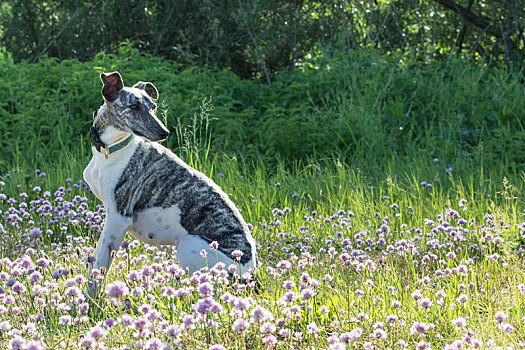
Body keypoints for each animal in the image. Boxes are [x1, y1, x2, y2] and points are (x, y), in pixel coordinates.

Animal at [82, 71, 258, 290]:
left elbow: (99, 266)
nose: (164, 133)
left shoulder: (117, 217)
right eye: (134, 106)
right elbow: (95, 260)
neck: (111, 149)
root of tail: (251, 274)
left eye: (153, 107)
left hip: (188, 246)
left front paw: (90, 297)